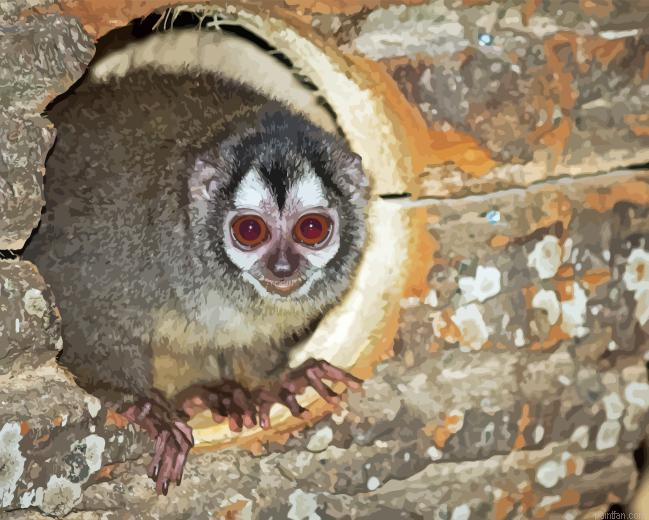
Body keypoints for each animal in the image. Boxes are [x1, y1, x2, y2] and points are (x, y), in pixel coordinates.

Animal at [23, 66, 369, 495]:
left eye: (311, 228)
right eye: (250, 230)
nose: (282, 267)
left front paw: (273, 383)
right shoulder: (120, 253)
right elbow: (75, 310)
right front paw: (138, 404)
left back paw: (208, 396)